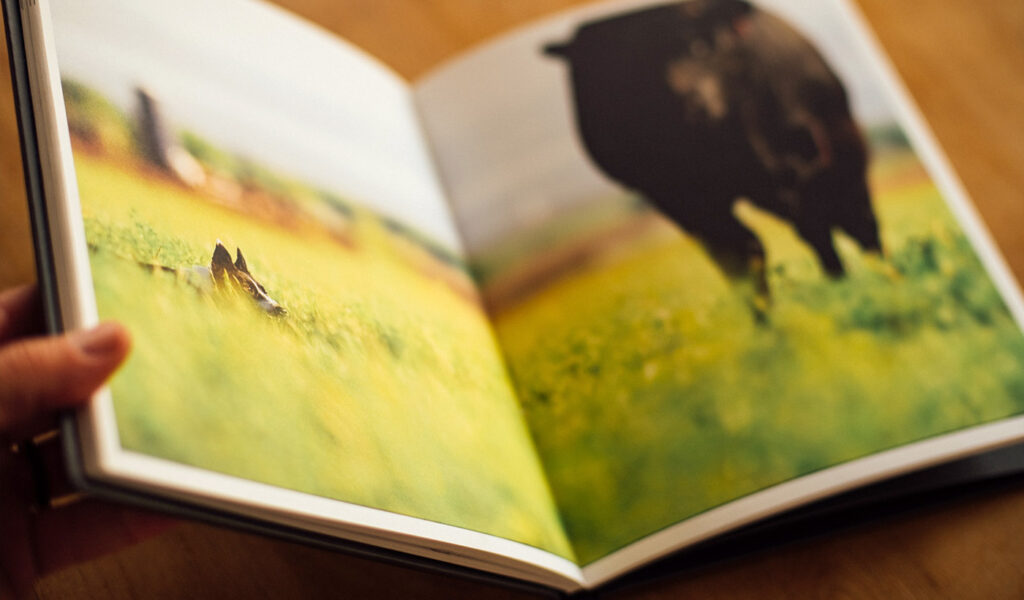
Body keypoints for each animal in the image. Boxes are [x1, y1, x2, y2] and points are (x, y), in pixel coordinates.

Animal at [548, 2, 884, 313]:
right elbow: (740, 256)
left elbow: (824, 226)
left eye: (701, 45)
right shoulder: (678, 199)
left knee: (855, 221)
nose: (688, 103)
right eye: (622, 75)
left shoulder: (803, 163)